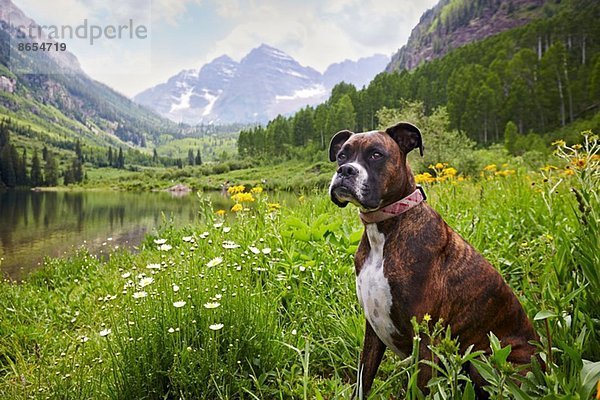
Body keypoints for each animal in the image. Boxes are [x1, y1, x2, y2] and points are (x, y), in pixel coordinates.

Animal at [328, 122, 540, 396]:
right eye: (342, 155)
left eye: (376, 155)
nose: (345, 170)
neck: (385, 229)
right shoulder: (373, 330)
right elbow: (364, 378)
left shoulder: (426, 339)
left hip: (486, 360)